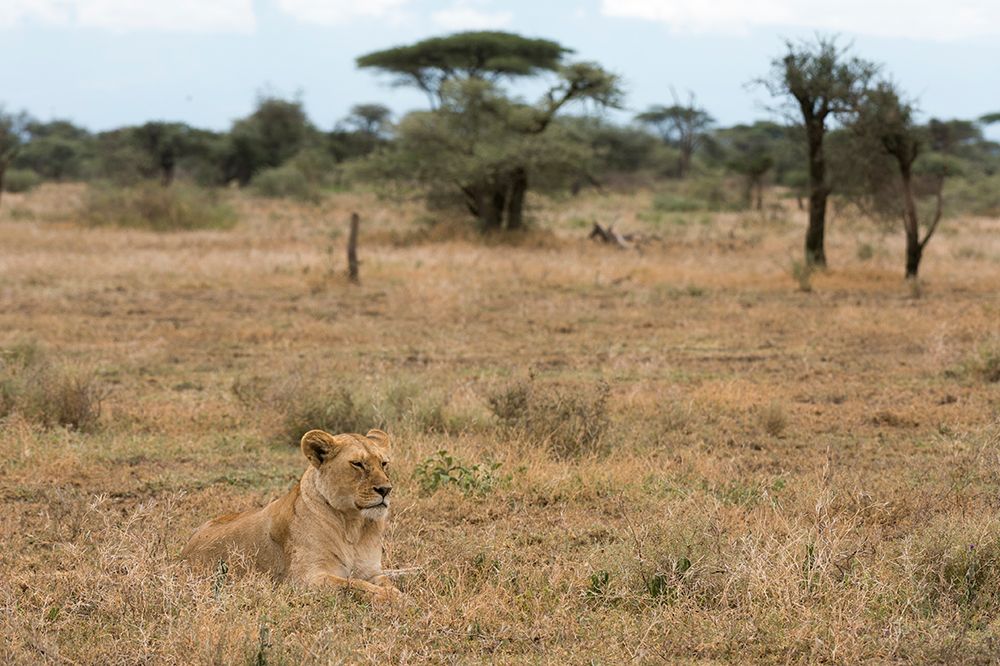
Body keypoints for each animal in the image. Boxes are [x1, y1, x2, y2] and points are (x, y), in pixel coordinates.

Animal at [181, 428, 399, 600]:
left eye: (384, 463)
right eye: (357, 464)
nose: (385, 489)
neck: (353, 525)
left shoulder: (372, 572)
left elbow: (386, 584)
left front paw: (398, 595)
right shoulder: (306, 578)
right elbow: (355, 585)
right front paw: (392, 599)